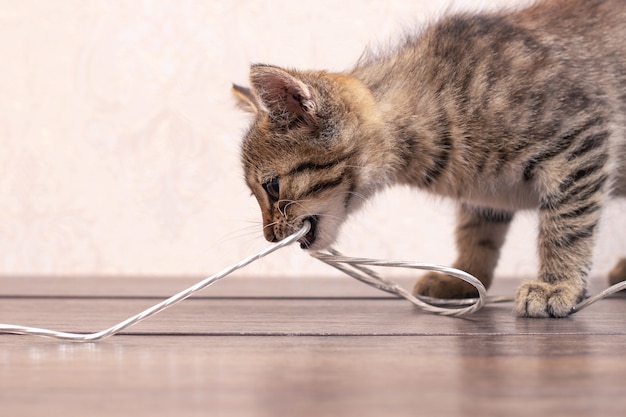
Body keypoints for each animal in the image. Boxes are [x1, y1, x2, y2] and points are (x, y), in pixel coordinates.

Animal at [233, 0, 624, 316]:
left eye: (271, 186)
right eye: (254, 193)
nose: (269, 237)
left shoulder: (578, 141)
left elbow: (567, 225)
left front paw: (557, 285)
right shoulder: (486, 196)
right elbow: (476, 234)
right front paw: (465, 277)